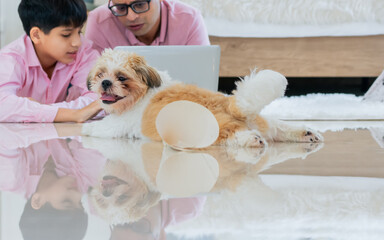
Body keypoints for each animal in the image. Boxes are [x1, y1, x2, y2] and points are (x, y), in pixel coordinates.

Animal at [82, 48, 322, 146]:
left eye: (121, 77)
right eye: (100, 74)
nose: (105, 83)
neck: (141, 94)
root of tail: (229, 103)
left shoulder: (117, 124)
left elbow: (101, 127)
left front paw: (87, 128)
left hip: (215, 129)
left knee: (233, 134)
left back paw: (251, 140)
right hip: (264, 122)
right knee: (279, 128)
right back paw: (306, 133)